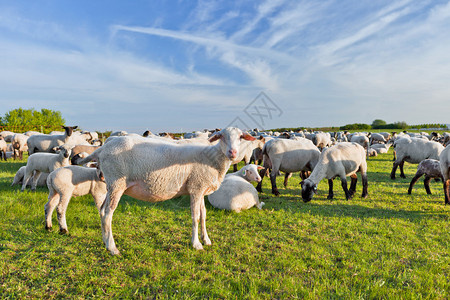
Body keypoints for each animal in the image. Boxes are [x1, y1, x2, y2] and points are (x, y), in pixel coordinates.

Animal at [75, 126, 255, 255]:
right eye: (222, 136)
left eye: (240, 137)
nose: (233, 153)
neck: (214, 159)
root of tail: (102, 148)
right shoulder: (196, 188)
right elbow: (195, 217)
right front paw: (196, 244)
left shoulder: (200, 188)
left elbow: (203, 215)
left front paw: (206, 239)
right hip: (117, 182)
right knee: (107, 213)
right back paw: (112, 248)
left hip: (111, 185)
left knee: (101, 209)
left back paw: (105, 241)